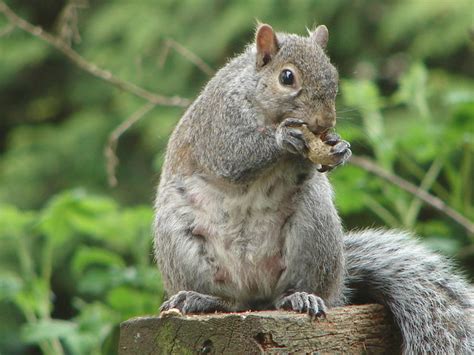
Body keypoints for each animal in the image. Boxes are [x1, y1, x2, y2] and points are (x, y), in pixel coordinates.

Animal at [154, 23, 472, 354]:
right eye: (287, 77)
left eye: (333, 74)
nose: (325, 122)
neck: (260, 102)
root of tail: (256, 292)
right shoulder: (218, 126)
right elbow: (234, 157)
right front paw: (284, 138)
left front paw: (340, 147)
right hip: (182, 246)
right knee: (231, 302)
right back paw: (201, 298)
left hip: (313, 231)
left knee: (289, 293)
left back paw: (301, 297)